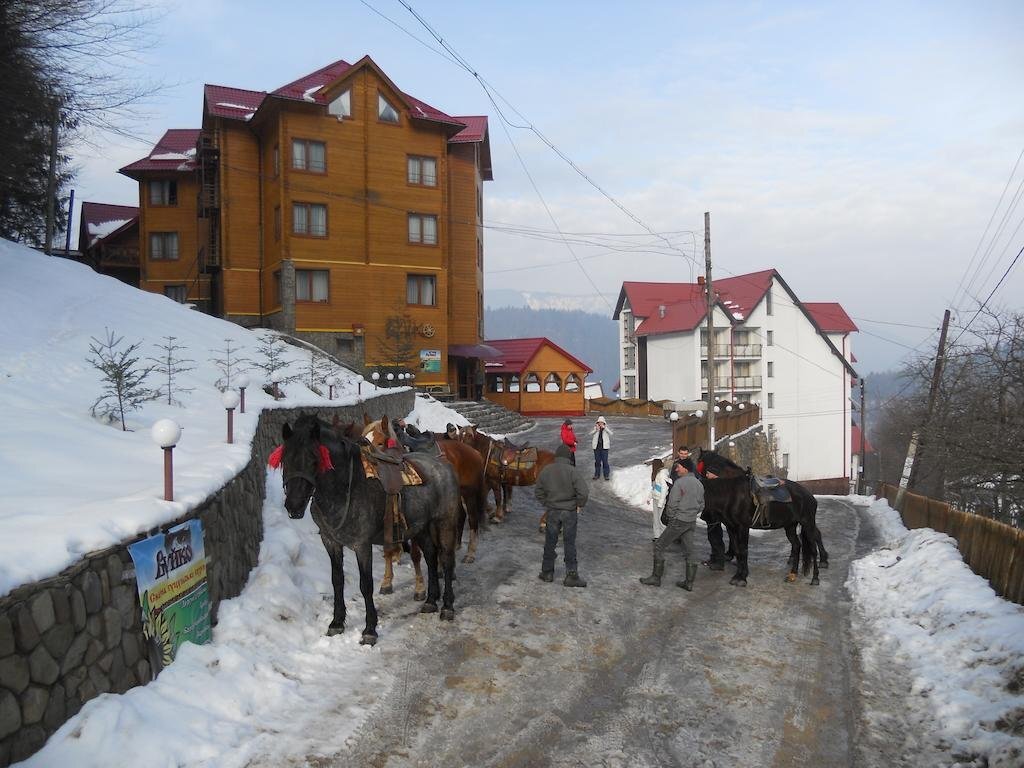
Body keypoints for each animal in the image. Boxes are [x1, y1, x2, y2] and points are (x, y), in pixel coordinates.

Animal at [276, 414, 460, 645]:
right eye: (285, 459)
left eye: (314, 459)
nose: (294, 505)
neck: (347, 486)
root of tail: (441, 463)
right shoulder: (330, 541)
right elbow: (337, 580)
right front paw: (336, 622)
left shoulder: (362, 544)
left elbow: (366, 585)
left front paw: (370, 629)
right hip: (421, 527)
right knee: (430, 555)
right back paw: (430, 600)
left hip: (445, 522)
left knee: (446, 559)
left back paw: (447, 606)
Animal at [696, 448, 829, 569]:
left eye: (698, 463)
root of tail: (809, 494)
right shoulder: (729, 523)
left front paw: (729, 556)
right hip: (791, 524)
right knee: (800, 541)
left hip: (807, 521)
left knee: (815, 534)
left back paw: (823, 560)